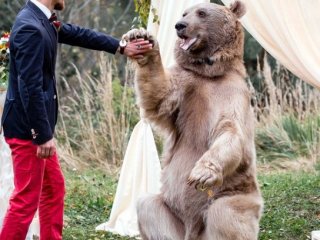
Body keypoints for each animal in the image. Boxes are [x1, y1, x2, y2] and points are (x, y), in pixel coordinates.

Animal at [124, 0, 262, 239]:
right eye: (184, 13)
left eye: (202, 12)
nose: (180, 26)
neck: (209, 73)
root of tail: (193, 231)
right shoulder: (185, 86)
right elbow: (159, 95)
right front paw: (141, 39)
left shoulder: (232, 94)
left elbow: (230, 130)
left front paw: (201, 173)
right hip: (169, 208)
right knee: (148, 207)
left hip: (235, 193)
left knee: (226, 215)